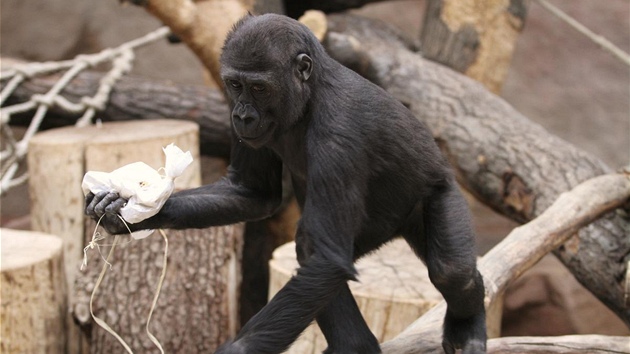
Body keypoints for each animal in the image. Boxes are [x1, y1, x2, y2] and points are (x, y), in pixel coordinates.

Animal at [85, 13, 488, 354]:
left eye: (260, 88)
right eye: (235, 85)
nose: (242, 115)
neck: (309, 97)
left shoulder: (338, 132)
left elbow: (325, 258)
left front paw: (237, 351)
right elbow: (253, 196)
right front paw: (125, 211)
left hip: (439, 191)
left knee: (454, 273)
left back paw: (467, 326)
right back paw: (357, 347)